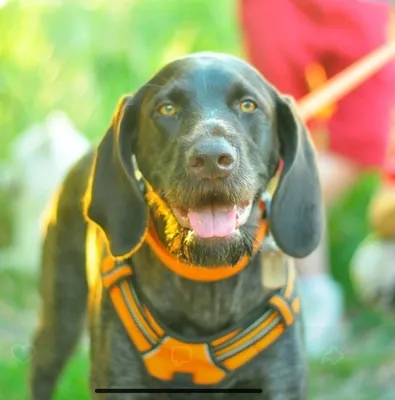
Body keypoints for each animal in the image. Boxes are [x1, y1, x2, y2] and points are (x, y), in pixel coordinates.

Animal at [29, 53, 324, 400]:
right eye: (167, 108)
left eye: (248, 105)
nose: (211, 159)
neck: (206, 285)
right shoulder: (120, 380)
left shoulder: (280, 382)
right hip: (60, 312)